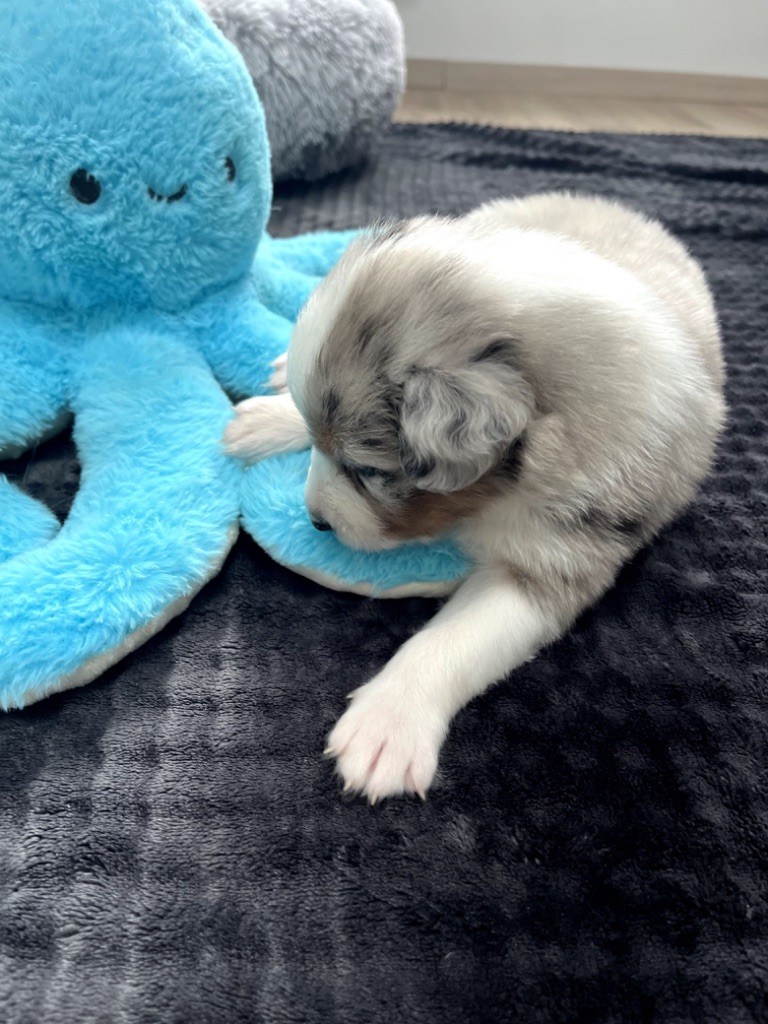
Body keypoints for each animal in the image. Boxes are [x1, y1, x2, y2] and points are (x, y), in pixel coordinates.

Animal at [224, 192, 725, 803]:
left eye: (366, 470)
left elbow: (454, 639)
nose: (316, 521)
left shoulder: (559, 556)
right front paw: (276, 420)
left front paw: (388, 723)